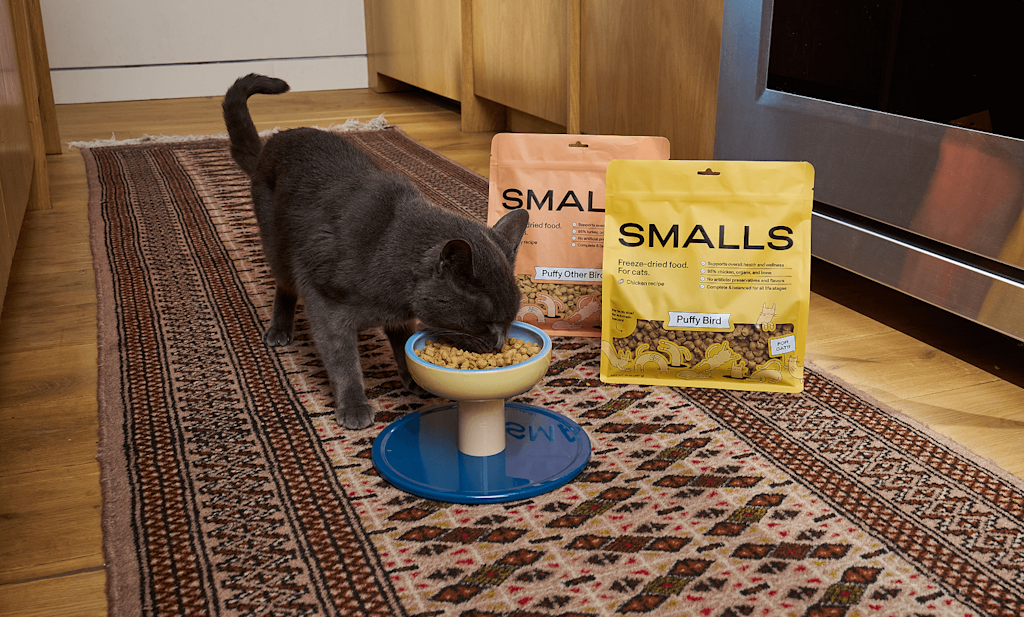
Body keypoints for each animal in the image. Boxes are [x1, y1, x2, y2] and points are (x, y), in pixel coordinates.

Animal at [222, 74, 529, 430]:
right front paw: (354, 405)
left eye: (509, 321)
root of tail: (273, 141)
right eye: (486, 321)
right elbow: (342, 359)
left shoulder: (397, 317)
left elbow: (400, 342)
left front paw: (411, 378)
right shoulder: (326, 306)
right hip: (278, 247)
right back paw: (279, 330)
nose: (499, 343)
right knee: (284, 286)